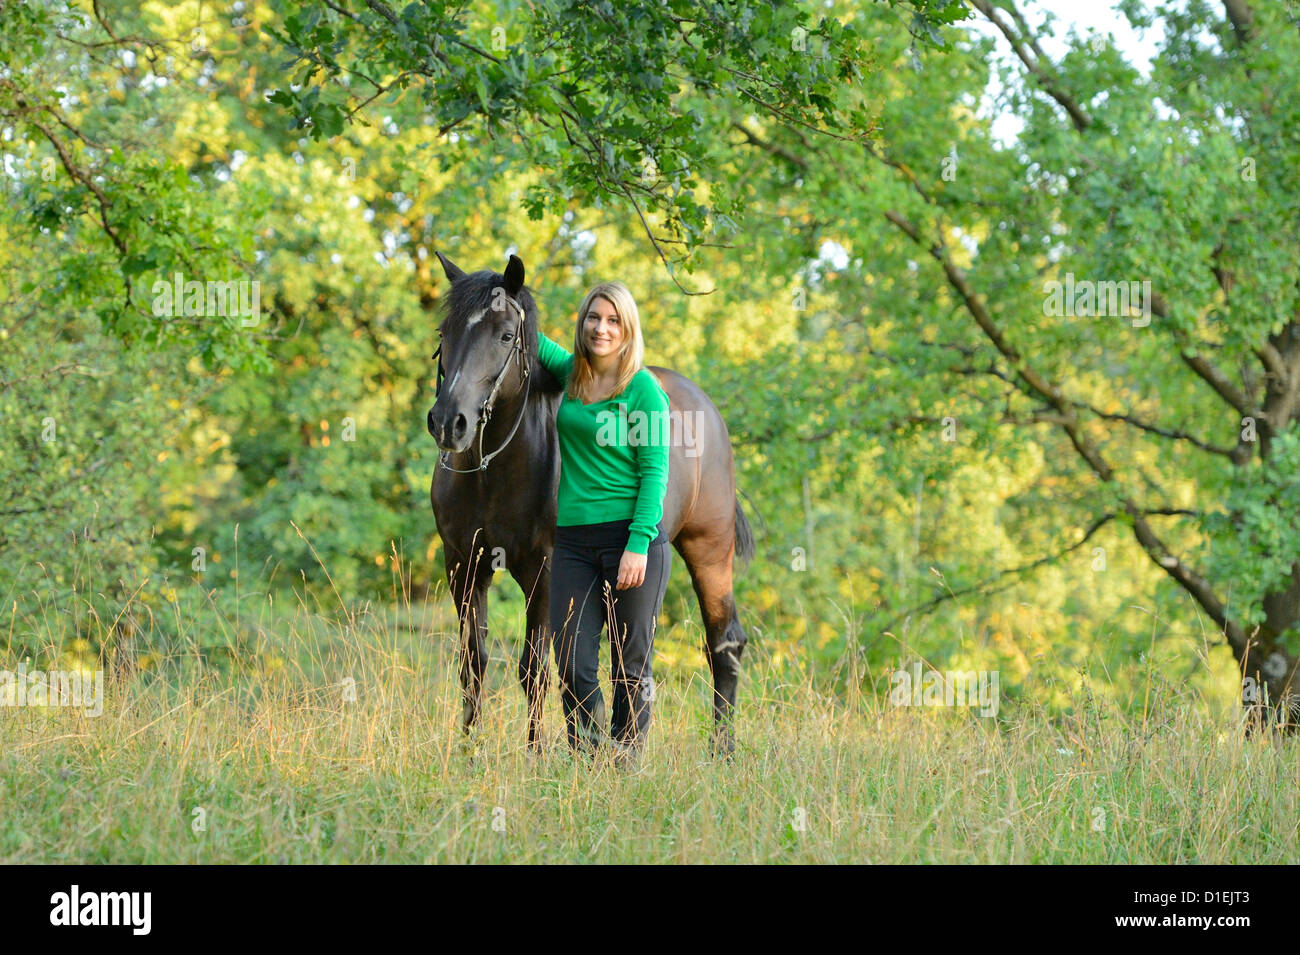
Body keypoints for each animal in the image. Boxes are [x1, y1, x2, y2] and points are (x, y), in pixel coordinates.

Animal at [425, 251, 755, 755]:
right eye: (445, 333)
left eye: (505, 335)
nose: (449, 423)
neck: (491, 475)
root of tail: (705, 408)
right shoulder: (462, 565)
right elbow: (473, 664)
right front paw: (468, 752)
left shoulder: (543, 572)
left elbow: (533, 669)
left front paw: (535, 756)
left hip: (709, 550)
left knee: (724, 643)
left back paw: (722, 750)